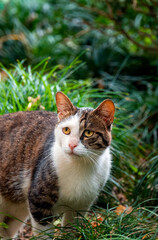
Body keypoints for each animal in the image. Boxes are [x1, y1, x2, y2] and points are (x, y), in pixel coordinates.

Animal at [0, 91, 114, 238]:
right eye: (66, 130)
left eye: (88, 133)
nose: (72, 145)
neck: (79, 167)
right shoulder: (39, 202)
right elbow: (44, 234)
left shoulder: (81, 206)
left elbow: (72, 230)